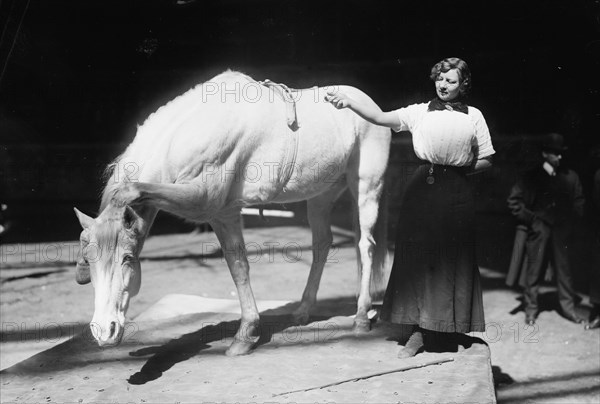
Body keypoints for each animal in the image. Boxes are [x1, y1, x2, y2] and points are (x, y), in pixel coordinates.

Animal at [74, 71, 390, 356]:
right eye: (89, 259)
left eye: (127, 258)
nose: (103, 331)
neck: (201, 126)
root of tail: (370, 105)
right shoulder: (221, 215)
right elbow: (237, 266)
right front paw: (247, 333)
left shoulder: (208, 202)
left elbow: (239, 268)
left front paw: (244, 336)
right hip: (319, 197)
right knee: (322, 244)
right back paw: (303, 310)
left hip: (366, 187)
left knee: (365, 245)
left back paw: (360, 317)